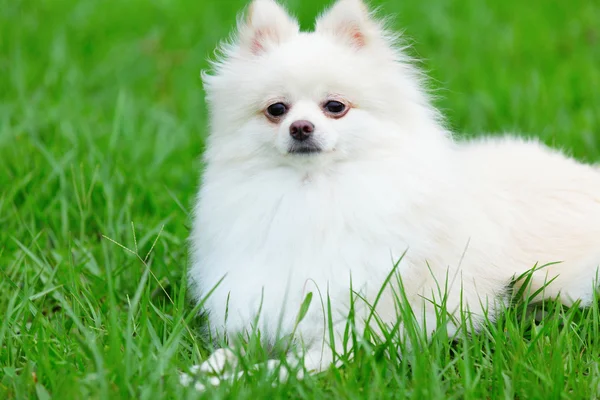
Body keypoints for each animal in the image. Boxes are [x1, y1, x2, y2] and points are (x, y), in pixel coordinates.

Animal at [185, 0, 600, 384]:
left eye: (334, 106)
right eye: (276, 110)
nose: (300, 127)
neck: (315, 193)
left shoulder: (352, 334)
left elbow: (280, 368)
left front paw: (240, 378)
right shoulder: (261, 313)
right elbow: (235, 350)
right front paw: (205, 373)